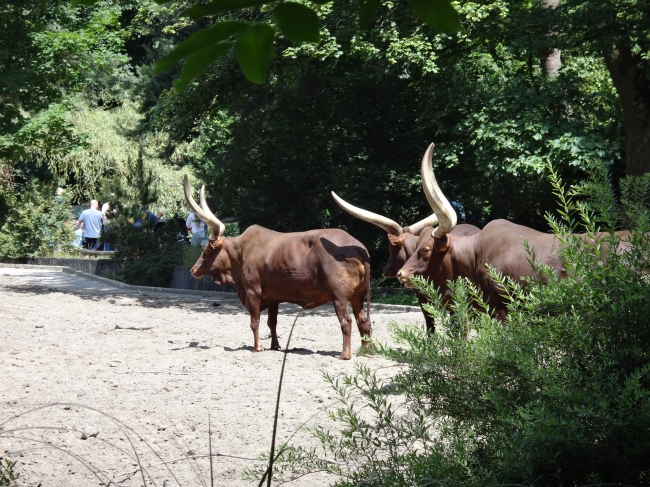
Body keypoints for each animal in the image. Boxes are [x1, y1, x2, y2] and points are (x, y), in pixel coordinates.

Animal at [185, 177, 372, 360]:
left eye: (207, 250)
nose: (193, 270)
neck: (241, 252)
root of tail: (358, 247)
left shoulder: (253, 291)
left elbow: (254, 322)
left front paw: (257, 347)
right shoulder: (273, 297)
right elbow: (272, 323)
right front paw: (274, 346)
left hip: (340, 297)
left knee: (346, 321)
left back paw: (345, 354)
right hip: (358, 296)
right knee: (363, 321)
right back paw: (366, 350)